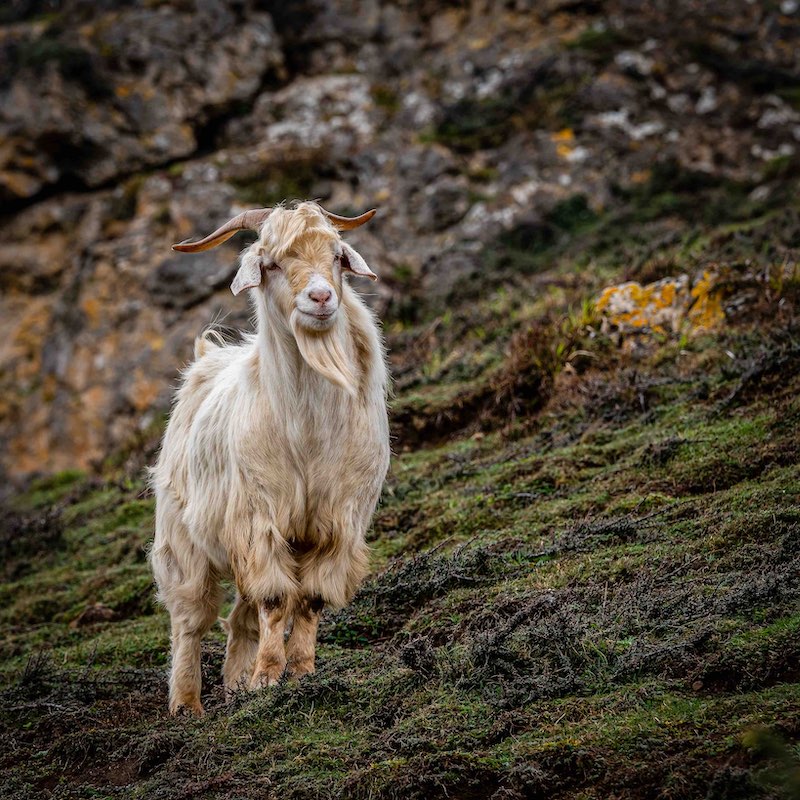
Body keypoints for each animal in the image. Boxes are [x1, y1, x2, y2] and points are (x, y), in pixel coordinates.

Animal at [150, 202, 390, 715]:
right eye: (272, 263)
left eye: (337, 257)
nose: (320, 297)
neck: (307, 432)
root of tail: (207, 356)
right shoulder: (258, 518)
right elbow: (277, 599)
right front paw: (266, 679)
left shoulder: (339, 522)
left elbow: (310, 599)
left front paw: (299, 673)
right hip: (181, 539)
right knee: (190, 619)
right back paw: (187, 706)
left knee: (240, 614)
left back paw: (235, 685)